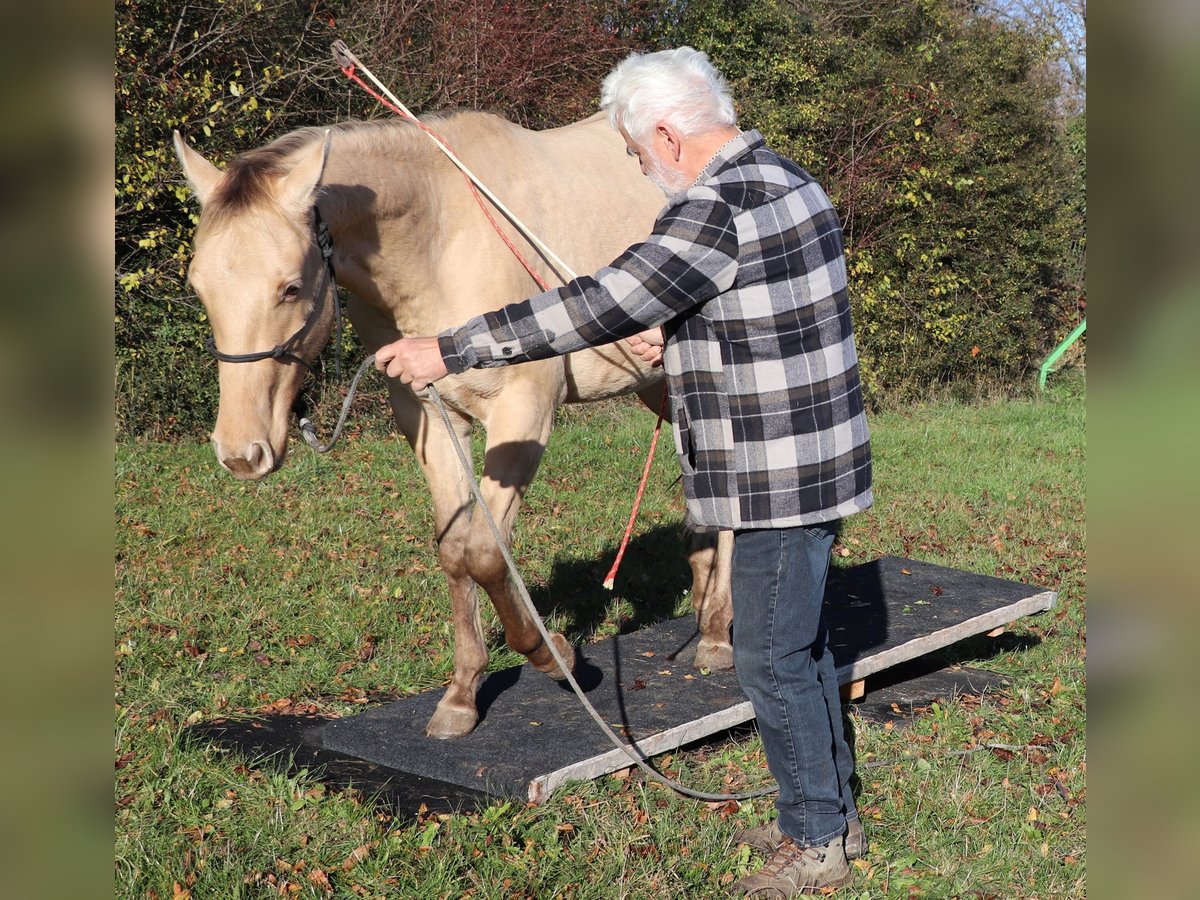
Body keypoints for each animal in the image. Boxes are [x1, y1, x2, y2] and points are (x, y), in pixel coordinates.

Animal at [173, 110, 733, 739]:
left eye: (290, 286)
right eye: (199, 286)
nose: (241, 453)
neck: (440, 237)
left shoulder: (523, 414)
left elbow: (485, 551)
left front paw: (555, 655)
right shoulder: (433, 421)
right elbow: (452, 550)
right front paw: (463, 694)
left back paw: (717, 634)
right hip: (659, 385)